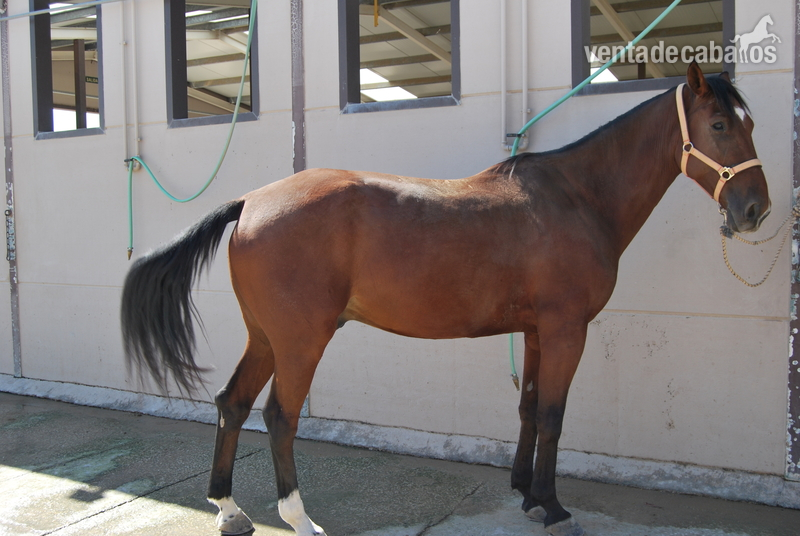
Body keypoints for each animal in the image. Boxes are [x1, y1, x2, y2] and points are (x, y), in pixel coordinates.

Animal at [120, 63, 770, 536]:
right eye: (718, 125)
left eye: (749, 124)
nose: (755, 209)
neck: (577, 197)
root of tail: (251, 201)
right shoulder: (567, 329)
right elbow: (554, 415)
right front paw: (555, 507)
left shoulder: (537, 331)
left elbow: (529, 408)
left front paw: (527, 495)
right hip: (300, 341)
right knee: (280, 416)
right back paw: (299, 519)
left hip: (265, 337)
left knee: (231, 403)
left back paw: (230, 511)